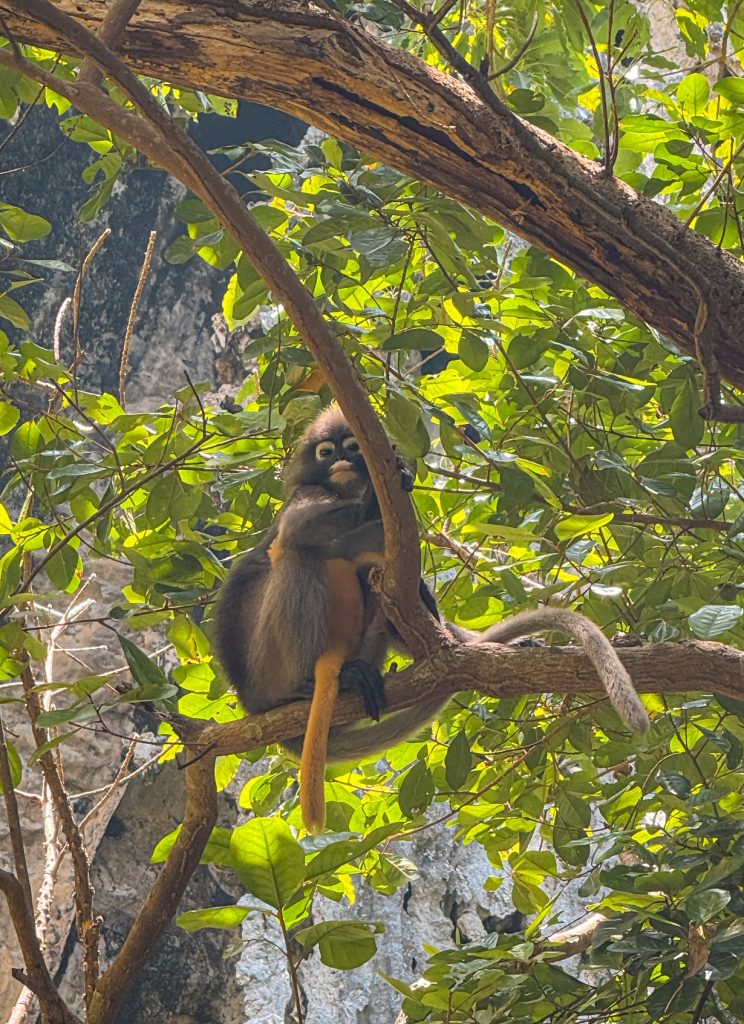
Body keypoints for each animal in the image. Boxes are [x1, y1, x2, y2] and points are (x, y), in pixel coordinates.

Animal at [214, 406, 649, 832]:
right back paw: (304, 684)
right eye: (326, 452)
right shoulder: (307, 494)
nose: (340, 460)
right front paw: (377, 495)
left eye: (352, 448)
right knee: (295, 550)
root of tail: (251, 700)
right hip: (268, 668)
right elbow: (297, 527)